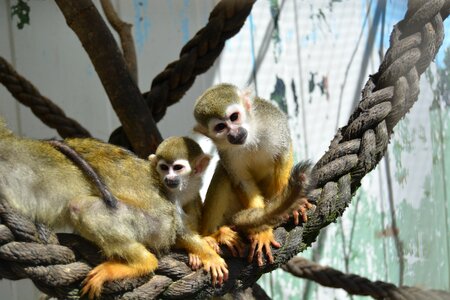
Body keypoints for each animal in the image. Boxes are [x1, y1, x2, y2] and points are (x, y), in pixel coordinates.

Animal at [149, 137, 229, 286]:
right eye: (164, 168)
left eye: (177, 168)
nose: (169, 178)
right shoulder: (165, 192)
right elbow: (177, 230)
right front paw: (211, 256)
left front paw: (207, 239)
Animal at [193, 83, 312, 266]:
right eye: (220, 127)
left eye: (234, 117)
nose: (234, 133)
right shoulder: (226, 152)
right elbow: (242, 181)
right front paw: (261, 231)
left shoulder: (272, 121)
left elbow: (283, 154)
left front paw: (291, 205)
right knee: (224, 172)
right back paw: (214, 234)